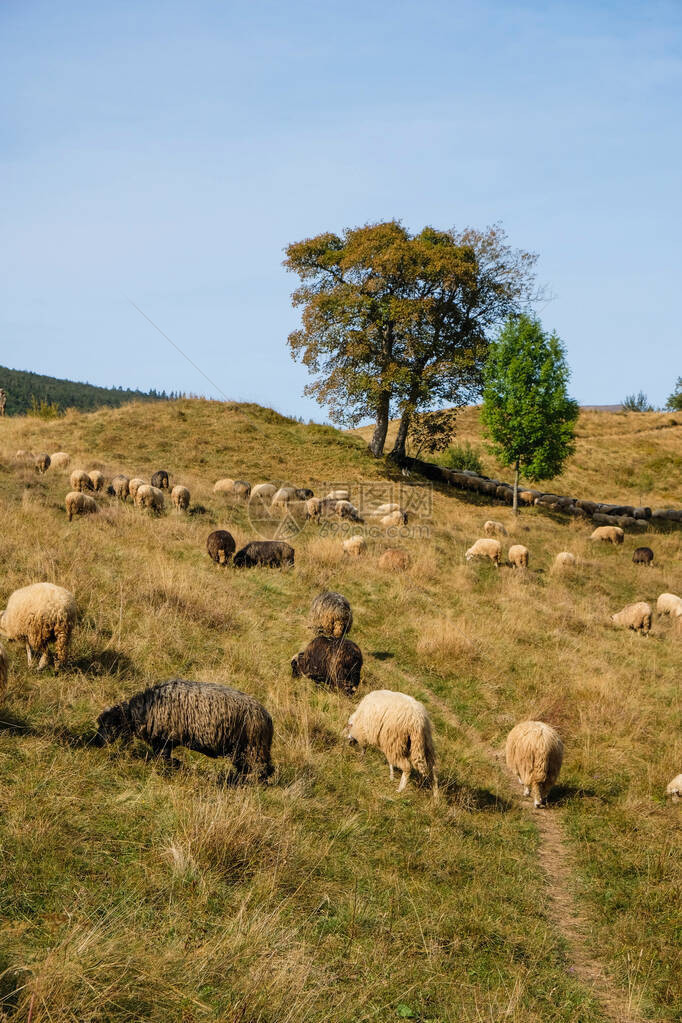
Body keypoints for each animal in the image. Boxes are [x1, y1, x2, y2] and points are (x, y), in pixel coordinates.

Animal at [97, 679, 274, 773]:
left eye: (109, 725)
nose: (97, 742)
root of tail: (267, 716)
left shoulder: (164, 740)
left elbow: (164, 758)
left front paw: (176, 766)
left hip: (252, 747)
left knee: (261, 769)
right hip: (241, 749)